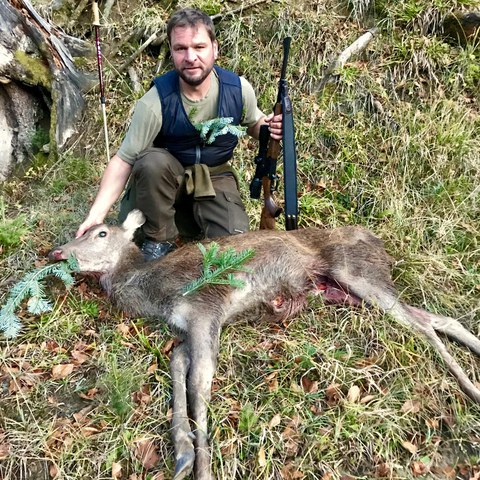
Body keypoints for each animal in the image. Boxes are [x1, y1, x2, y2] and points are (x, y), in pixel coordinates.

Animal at [47, 210, 480, 480]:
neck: (154, 292)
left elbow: (199, 384)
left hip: (357, 273)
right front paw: (183, 451)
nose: (58, 251)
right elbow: (177, 367)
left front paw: (203, 467)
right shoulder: (191, 327)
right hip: (350, 289)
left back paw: (470, 389)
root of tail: (379, 241)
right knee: (438, 319)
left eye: (100, 233)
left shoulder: (206, 307)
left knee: (423, 329)